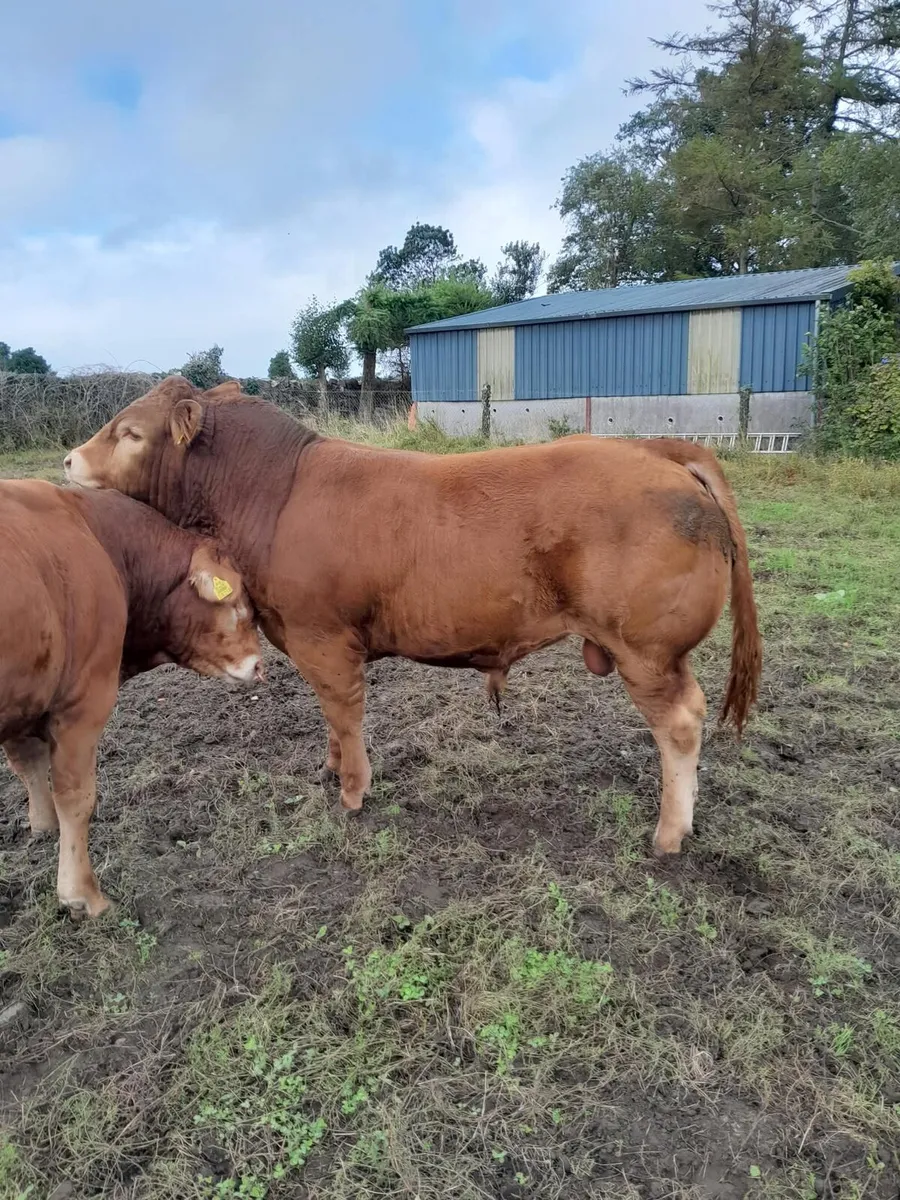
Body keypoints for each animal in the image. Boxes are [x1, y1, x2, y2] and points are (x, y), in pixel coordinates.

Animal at [0, 479, 262, 918]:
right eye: (237, 602)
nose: (260, 666)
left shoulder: (26, 700)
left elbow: (27, 765)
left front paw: (43, 828)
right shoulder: (83, 703)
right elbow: (76, 796)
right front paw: (82, 893)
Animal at [65, 376, 762, 858]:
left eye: (130, 433)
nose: (69, 459)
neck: (273, 495)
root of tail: (658, 451)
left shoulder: (324, 638)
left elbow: (346, 713)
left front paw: (352, 791)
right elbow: (329, 717)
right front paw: (329, 769)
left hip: (647, 651)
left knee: (681, 723)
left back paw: (669, 833)